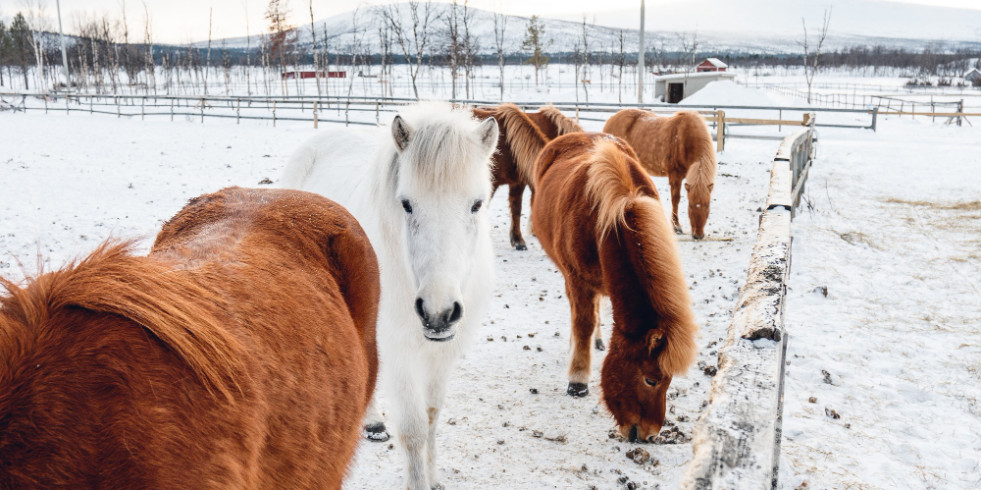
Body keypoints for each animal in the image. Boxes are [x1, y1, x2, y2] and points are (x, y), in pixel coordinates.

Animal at [282, 101, 498, 488]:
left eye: (476, 204)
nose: (438, 312)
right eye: (407, 204)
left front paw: (434, 477)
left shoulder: (441, 355)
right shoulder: (399, 353)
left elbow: (431, 418)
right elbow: (412, 430)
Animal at [532, 132, 700, 442]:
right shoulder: (577, 280)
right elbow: (583, 322)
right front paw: (577, 380)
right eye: (651, 380)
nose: (649, 434)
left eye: (670, 380)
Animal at [600, 111, 716, 241]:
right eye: (690, 206)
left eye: (708, 206)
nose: (698, 235)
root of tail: (610, 120)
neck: (685, 138)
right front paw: (676, 226)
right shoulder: (675, 175)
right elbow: (675, 199)